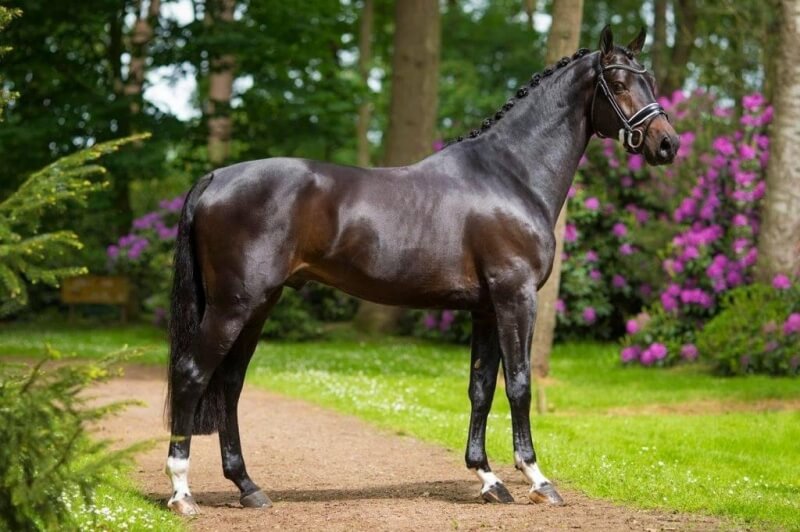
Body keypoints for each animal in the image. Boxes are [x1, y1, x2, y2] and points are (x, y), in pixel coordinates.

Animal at [163, 25, 679, 515]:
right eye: (618, 83)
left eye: (650, 80)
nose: (667, 144)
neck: (511, 175)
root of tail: (215, 178)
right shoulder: (516, 297)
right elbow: (519, 385)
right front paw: (536, 479)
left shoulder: (485, 309)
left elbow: (480, 388)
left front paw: (488, 479)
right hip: (234, 305)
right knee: (192, 374)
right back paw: (182, 493)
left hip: (259, 304)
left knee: (229, 383)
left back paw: (248, 487)